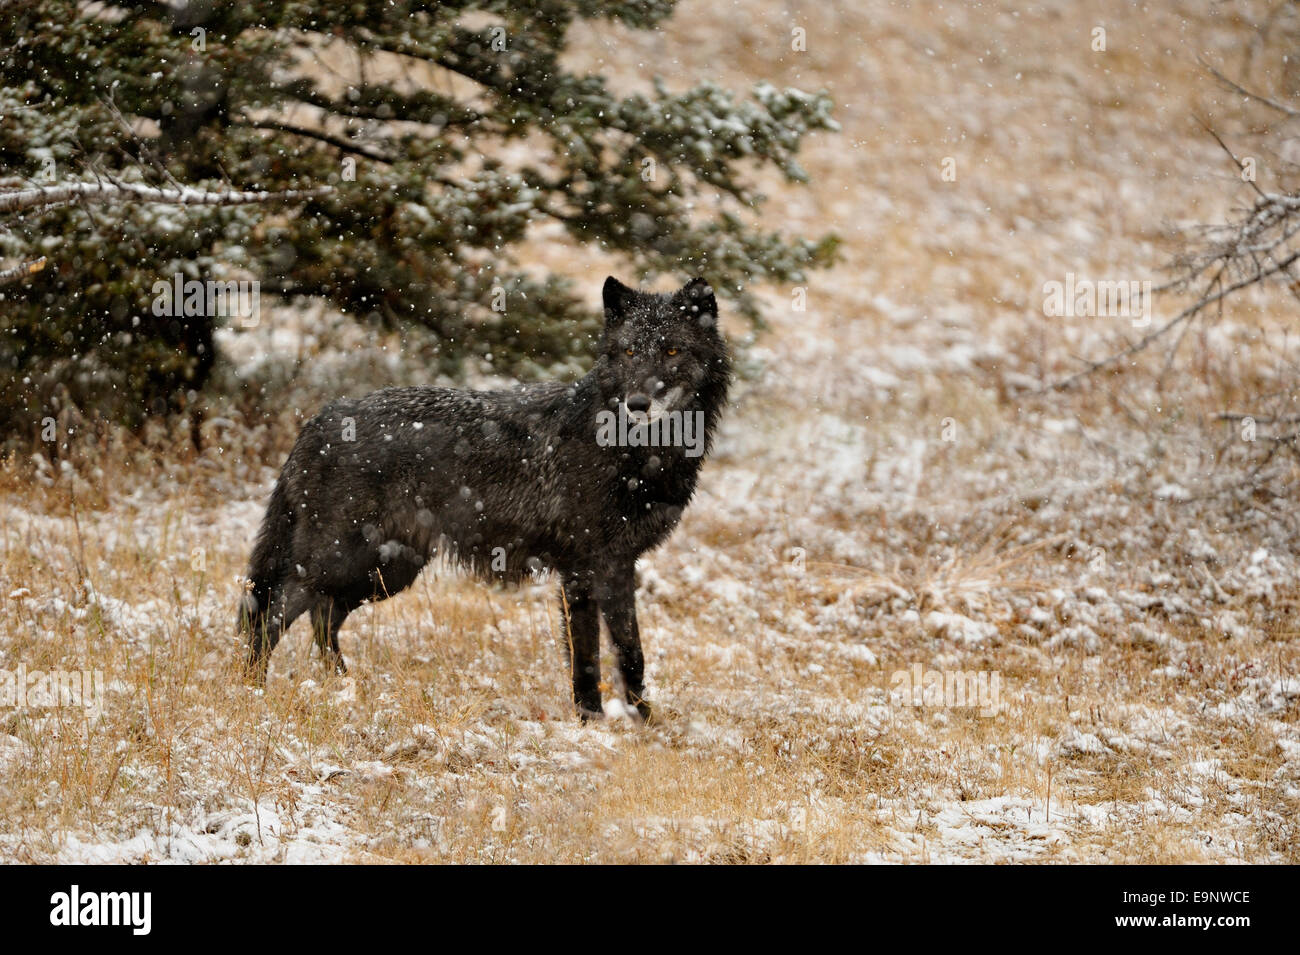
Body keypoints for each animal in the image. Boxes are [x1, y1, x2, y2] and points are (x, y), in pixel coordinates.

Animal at [241, 280, 733, 722]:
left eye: (671, 352)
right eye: (630, 352)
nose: (637, 403)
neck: (634, 453)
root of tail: (318, 420)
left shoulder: (619, 565)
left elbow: (631, 653)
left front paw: (646, 723)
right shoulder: (581, 568)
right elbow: (588, 655)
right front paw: (591, 721)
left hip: (385, 570)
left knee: (322, 617)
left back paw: (345, 687)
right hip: (341, 561)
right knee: (269, 615)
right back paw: (253, 690)